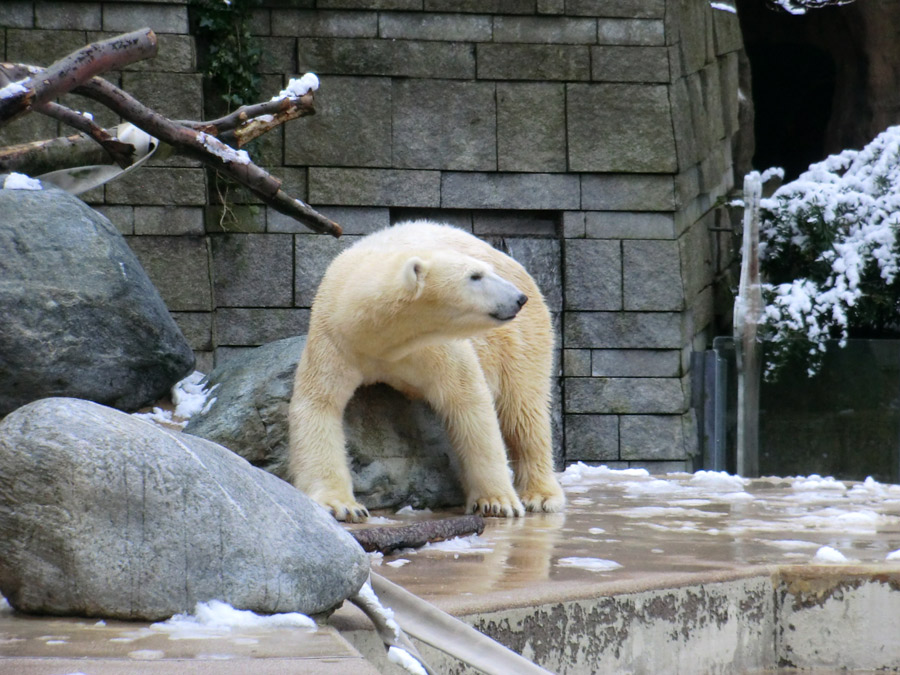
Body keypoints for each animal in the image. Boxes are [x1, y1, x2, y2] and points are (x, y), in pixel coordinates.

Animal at [288, 222, 564, 524]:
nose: (518, 298)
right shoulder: (335, 341)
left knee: (524, 411)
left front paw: (497, 502)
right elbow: (318, 406)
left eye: (483, 271)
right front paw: (343, 506)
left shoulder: (434, 345)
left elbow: (469, 403)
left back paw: (541, 495)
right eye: (475, 276)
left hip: (523, 338)